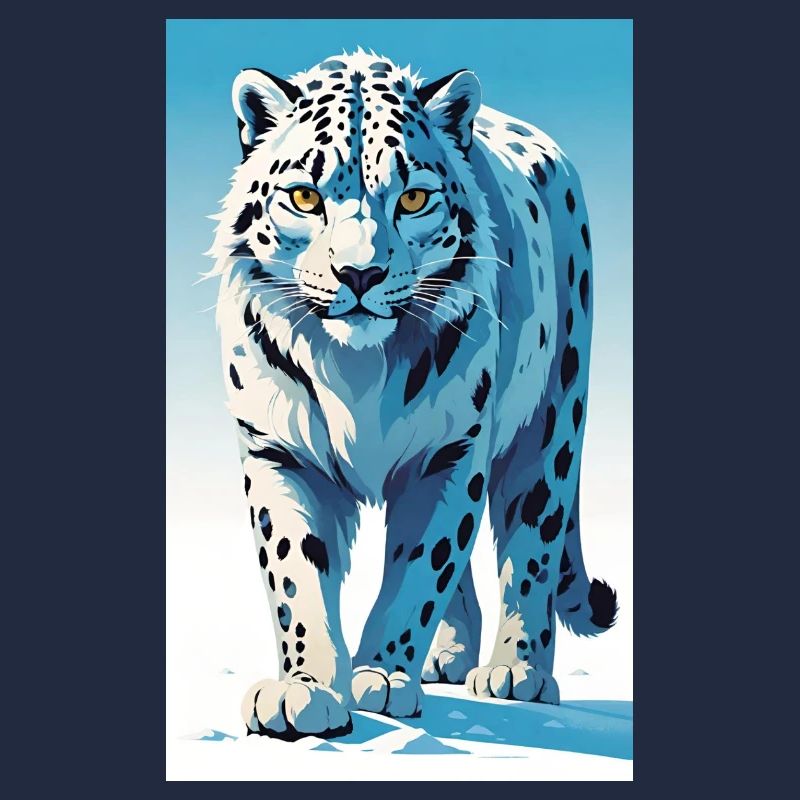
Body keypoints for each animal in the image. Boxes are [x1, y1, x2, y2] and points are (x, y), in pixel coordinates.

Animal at [207, 49, 618, 741]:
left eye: (414, 197)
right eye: (304, 196)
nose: (360, 273)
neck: (358, 371)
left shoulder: (449, 452)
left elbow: (421, 567)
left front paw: (381, 677)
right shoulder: (278, 449)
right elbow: (295, 572)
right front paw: (305, 691)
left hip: (551, 425)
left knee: (532, 543)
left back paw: (515, 672)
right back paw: (447, 659)